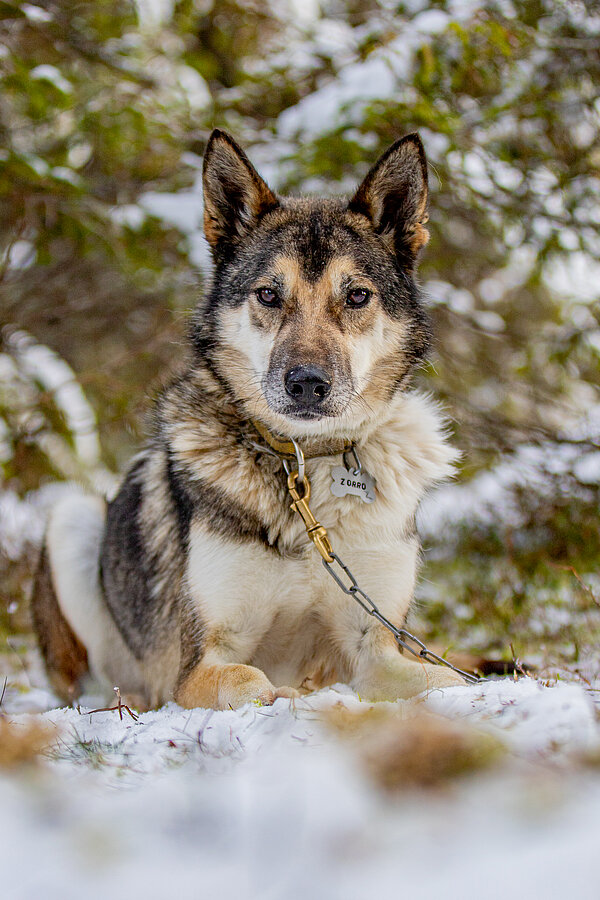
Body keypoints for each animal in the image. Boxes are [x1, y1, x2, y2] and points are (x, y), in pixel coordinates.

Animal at [31, 129, 465, 710]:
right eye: (268, 294)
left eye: (356, 296)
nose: (307, 384)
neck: (305, 470)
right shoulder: (201, 663)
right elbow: (251, 680)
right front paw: (289, 698)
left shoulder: (375, 647)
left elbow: (449, 683)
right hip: (72, 521)